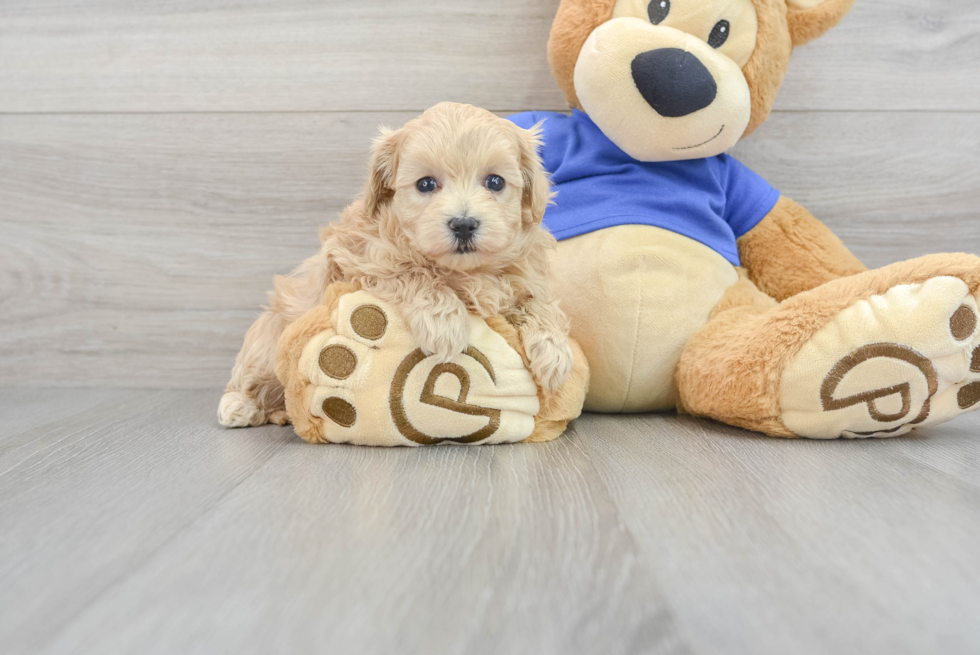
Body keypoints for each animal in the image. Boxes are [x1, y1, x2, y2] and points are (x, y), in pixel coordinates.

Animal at [217, 102, 572, 428]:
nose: (463, 224)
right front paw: (444, 322)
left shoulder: (523, 275)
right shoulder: (357, 258)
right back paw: (239, 406)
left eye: (495, 182)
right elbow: (410, 271)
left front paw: (554, 351)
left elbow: (540, 302)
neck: (463, 271)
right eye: (426, 184)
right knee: (251, 376)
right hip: (268, 340)